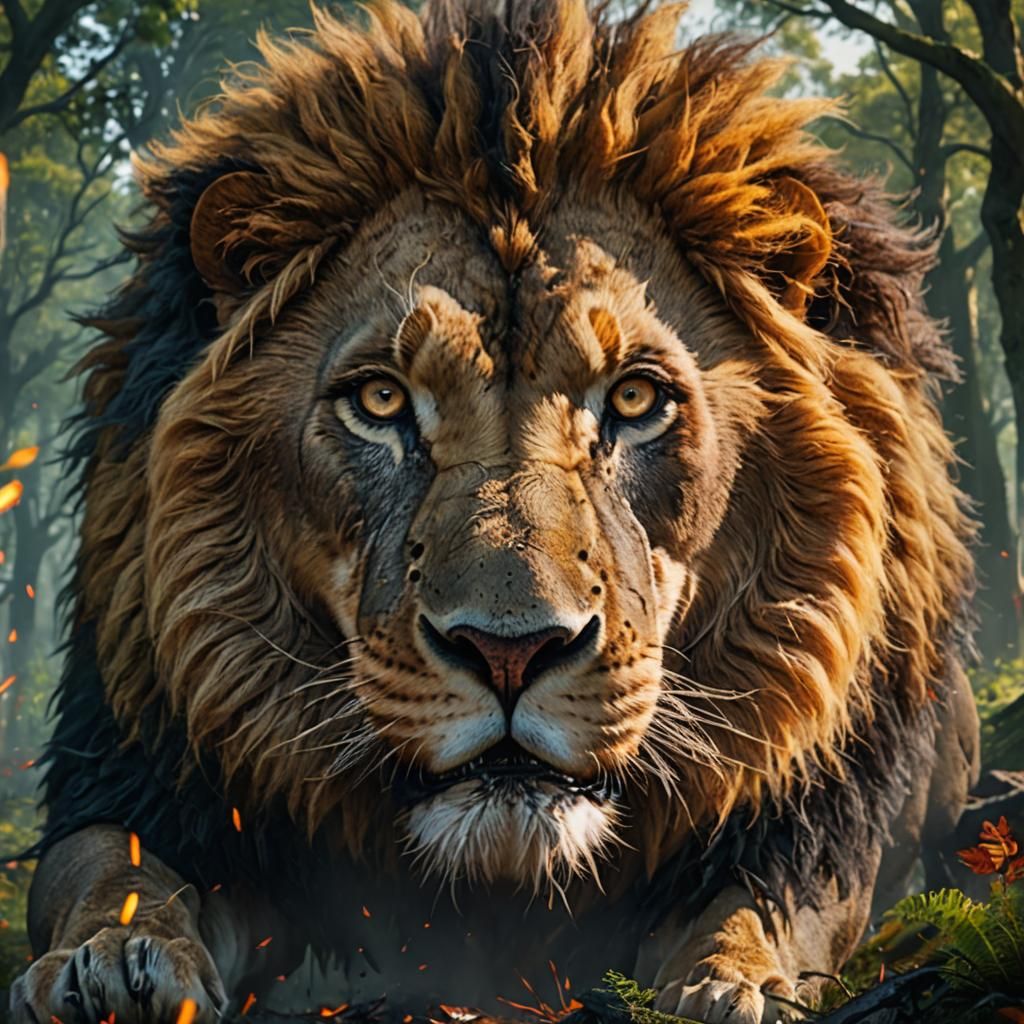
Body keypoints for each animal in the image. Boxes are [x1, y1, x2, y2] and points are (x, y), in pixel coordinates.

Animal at [12, 2, 980, 1022]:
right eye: (382, 402)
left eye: (634, 399)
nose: (511, 652)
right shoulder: (145, 777)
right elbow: (106, 867)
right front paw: (110, 957)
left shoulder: (813, 827)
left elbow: (765, 903)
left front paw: (735, 982)